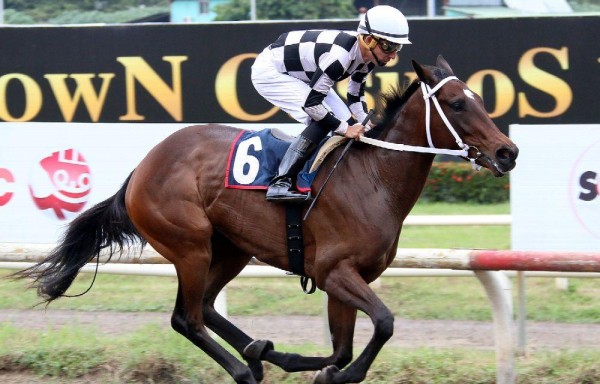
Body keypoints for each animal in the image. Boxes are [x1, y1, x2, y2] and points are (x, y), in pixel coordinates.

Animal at [16, 56, 516, 384]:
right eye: (456, 103)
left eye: (477, 98)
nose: (507, 152)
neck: (371, 178)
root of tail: (141, 168)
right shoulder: (334, 271)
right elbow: (384, 324)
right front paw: (330, 373)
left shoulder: (345, 278)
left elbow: (343, 347)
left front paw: (307, 364)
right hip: (190, 245)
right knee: (186, 318)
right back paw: (244, 368)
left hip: (230, 249)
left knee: (207, 308)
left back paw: (257, 351)